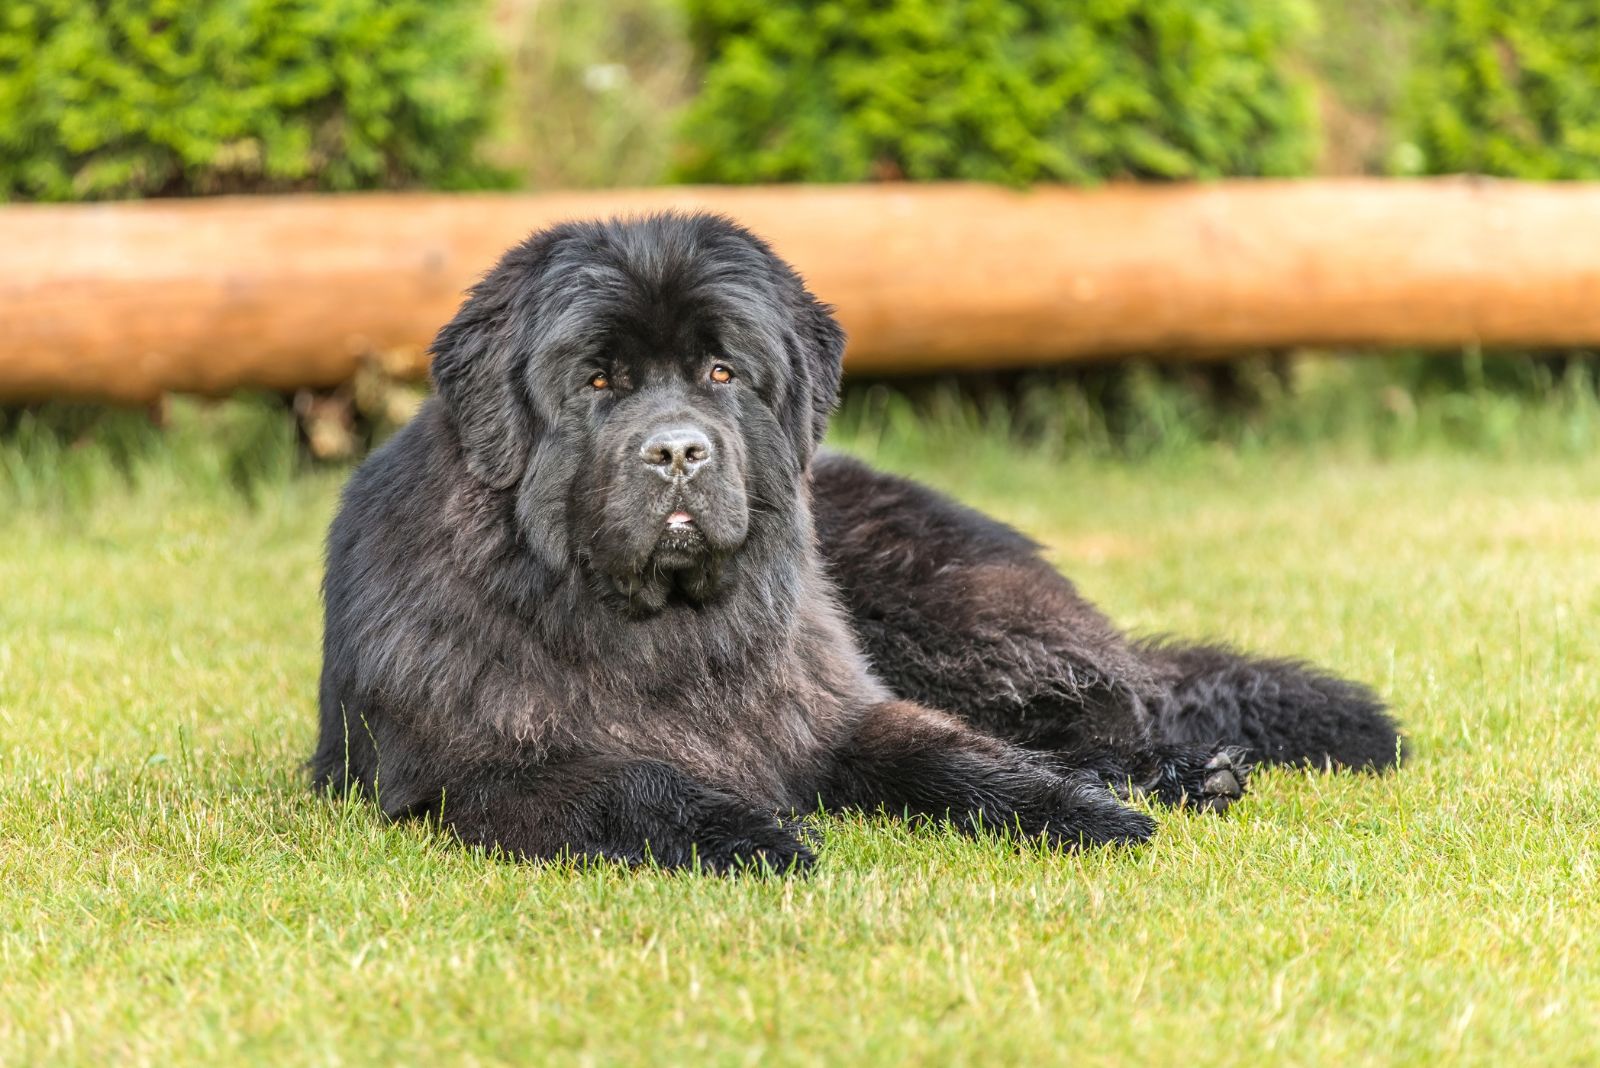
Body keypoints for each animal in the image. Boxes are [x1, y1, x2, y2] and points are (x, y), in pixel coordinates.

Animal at [315, 212, 1401, 869]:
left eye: (721, 373)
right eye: (596, 381)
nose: (678, 452)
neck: (662, 633)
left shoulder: (839, 709)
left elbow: (953, 759)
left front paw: (1081, 813)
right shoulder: (482, 771)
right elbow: (633, 782)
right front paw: (753, 835)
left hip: (940, 611)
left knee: (1082, 702)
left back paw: (1172, 770)